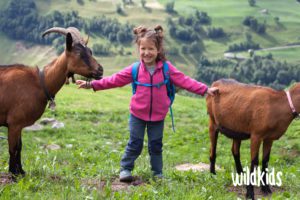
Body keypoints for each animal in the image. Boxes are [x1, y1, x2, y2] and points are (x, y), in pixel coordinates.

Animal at [0, 26, 103, 177]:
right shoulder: (14, 123)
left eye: (90, 51)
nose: (100, 70)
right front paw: (13, 174)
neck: (40, 82)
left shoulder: (18, 125)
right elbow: (13, 148)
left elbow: (20, 146)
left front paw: (21, 172)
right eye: (79, 53)